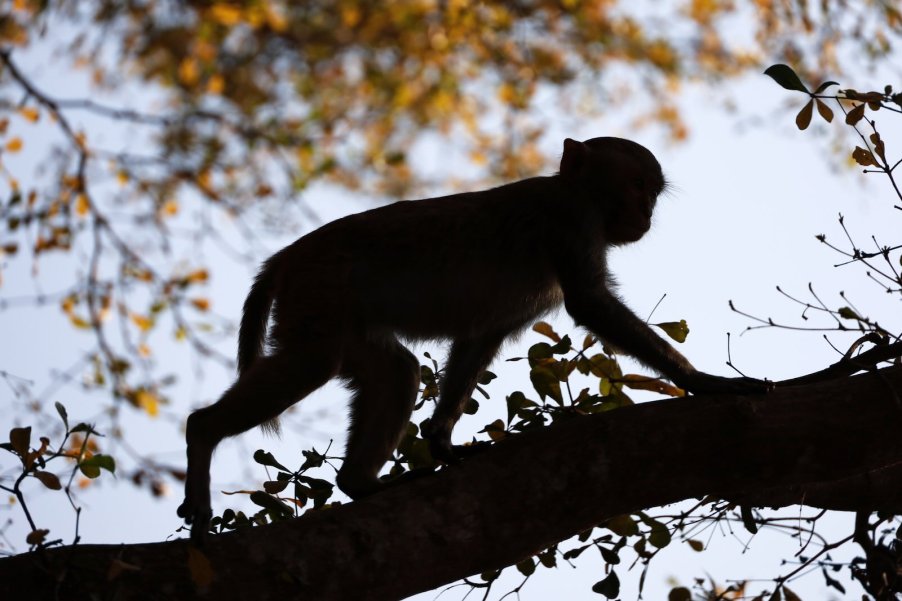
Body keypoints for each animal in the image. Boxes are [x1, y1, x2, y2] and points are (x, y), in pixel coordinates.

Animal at [177, 136, 768, 541]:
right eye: (637, 187)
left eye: (652, 193)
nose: (646, 213)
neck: (574, 191)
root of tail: (289, 255)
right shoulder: (571, 222)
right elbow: (589, 303)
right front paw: (703, 381)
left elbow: (482, 334)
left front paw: (440, 438)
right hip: (320, 293)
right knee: (311, 363)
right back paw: (202, 432)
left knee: (395, 372)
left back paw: (359, 484)